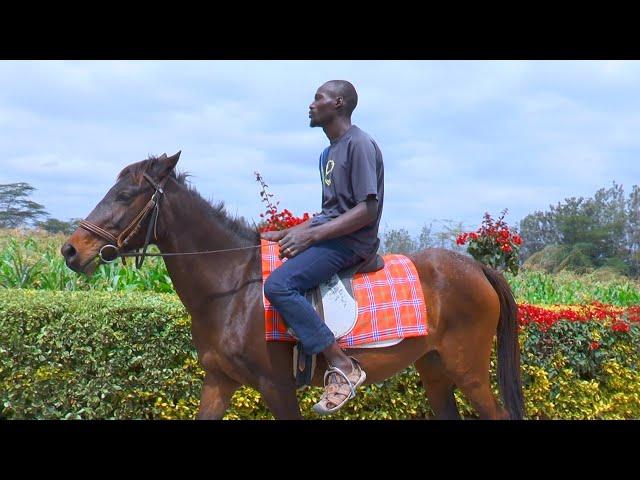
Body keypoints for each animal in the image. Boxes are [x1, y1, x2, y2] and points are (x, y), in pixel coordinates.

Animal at [60, 153, 524, 420]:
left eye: (125, 195)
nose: (70, 250)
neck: (233, 286)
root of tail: (478, 268)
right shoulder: (218, 381)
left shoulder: (276, 386)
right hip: (434, 368)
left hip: (468, 371)